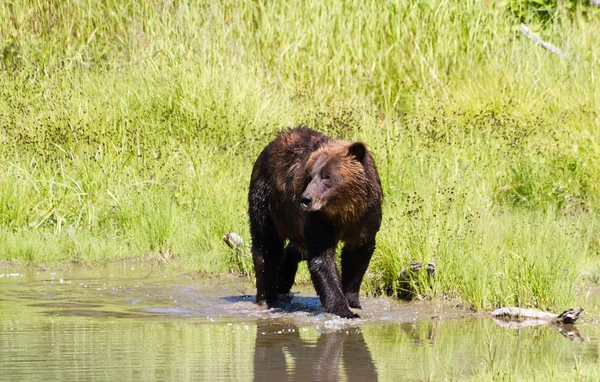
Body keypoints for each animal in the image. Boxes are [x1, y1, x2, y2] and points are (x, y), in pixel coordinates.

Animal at [250, 127, 384, 318]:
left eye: (327, 176)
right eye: (310, 176)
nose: (306, 199)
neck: (344, 208)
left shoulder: (365, 217)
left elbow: (358, 254)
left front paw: (353, 302)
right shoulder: (321, 219)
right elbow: (322, 257)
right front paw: (343, 309)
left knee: (295, 248)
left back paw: (283, 280)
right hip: (266, 201)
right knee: (266, 246)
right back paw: (268, 297)